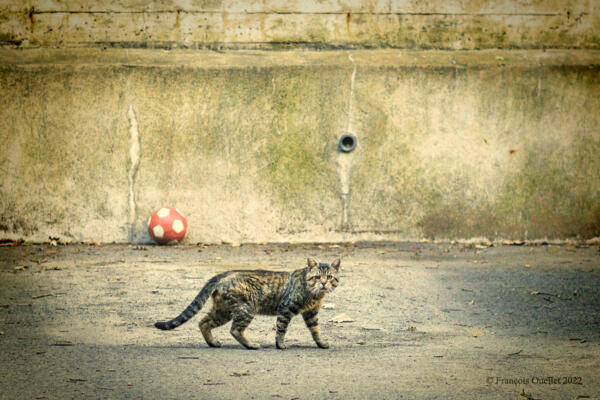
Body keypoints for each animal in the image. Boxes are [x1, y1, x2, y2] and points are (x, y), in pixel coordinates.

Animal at [155, 258, 342, 348]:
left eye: (329, 277)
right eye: (317, 277)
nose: (324, 283)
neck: (315, 295)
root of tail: (224, 274)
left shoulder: (311, 313)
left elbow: (315, 331)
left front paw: (321, 343)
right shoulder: (286, 309)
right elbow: (281, 329)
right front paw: (280, 345)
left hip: (223, 311)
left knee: (203, 322)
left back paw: (213, 343)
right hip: (246, 309)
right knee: (235, 330)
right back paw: (251, 345)